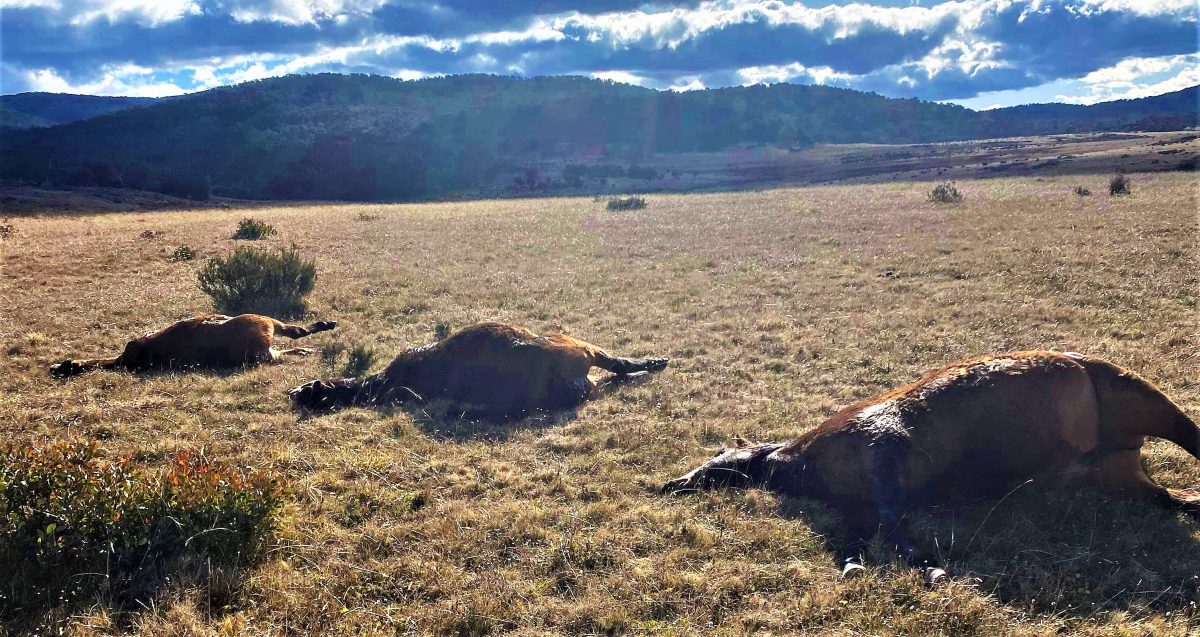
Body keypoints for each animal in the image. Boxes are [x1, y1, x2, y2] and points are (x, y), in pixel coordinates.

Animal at [667, 352, 1200, 585]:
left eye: (717, 456)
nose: (673, 483)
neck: (797, 462)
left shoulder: (883, 443)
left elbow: (894, 525)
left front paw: (933, 568)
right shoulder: (860, 501)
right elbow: (860, 536)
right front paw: (860, 565)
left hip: (1145, 398)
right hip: (1119, 476)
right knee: (1174, 499)